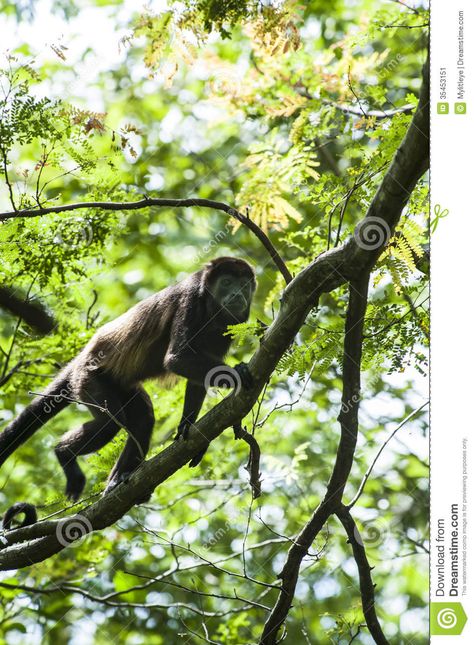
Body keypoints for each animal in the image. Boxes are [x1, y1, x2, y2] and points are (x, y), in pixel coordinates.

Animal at [0, 256, 256, 524]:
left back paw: (117, 481)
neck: (211, 307)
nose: (238, 294)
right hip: (89, 379)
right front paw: (238, 373)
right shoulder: (190, 300)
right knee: (109, 424)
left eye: (244, 284)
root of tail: (81, 358)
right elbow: (177, 358)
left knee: (143, 418)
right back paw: (64, 454)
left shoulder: (229, 325)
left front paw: (188, 427)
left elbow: (198, 380)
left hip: (121, 386)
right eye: (226, 282)